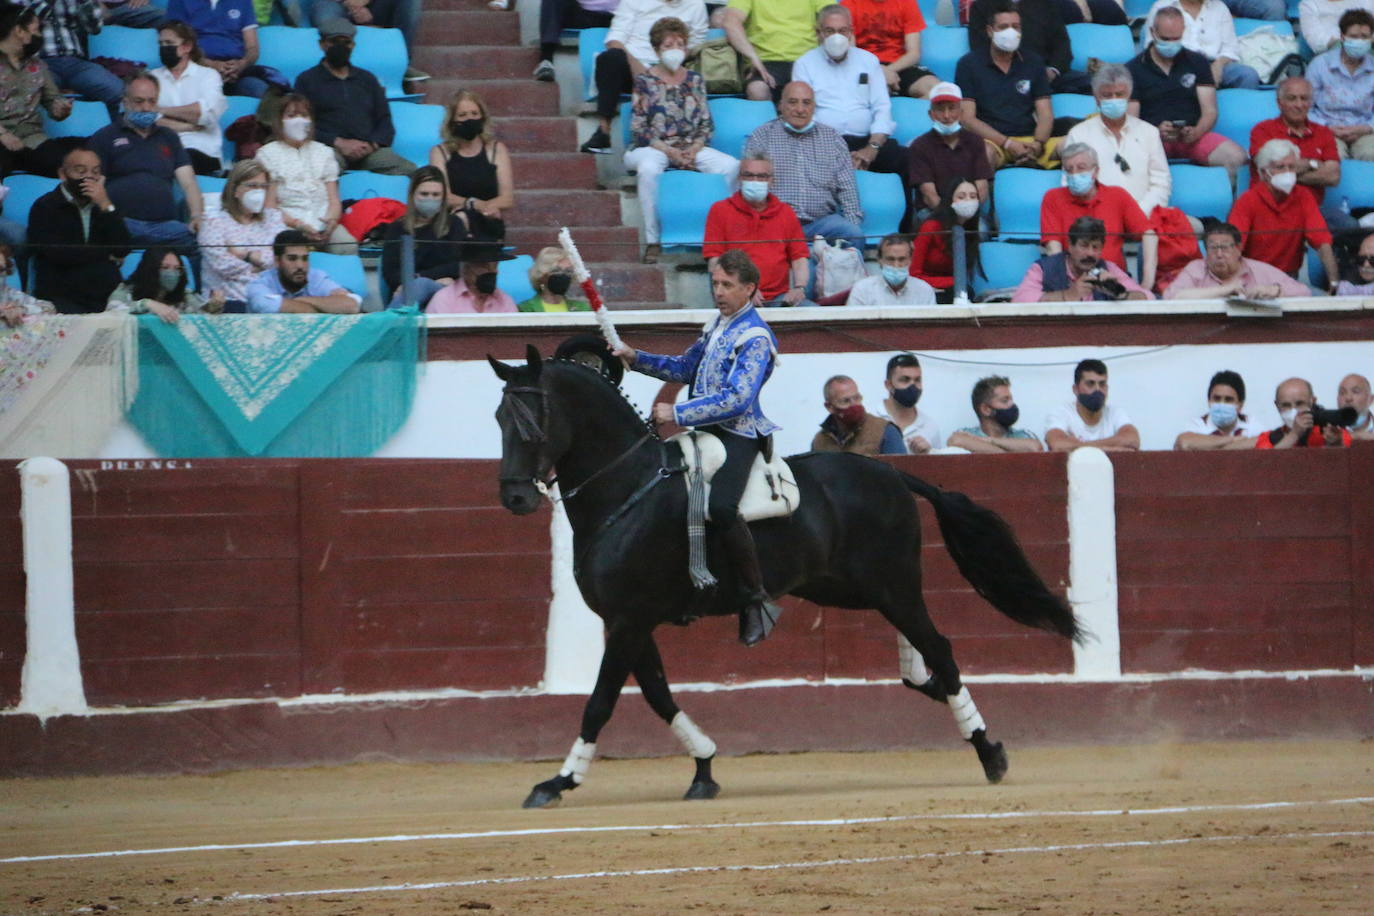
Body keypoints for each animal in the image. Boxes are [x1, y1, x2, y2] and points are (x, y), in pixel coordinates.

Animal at [494, 347, 1082, 807]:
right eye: (499, 417)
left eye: (530, 421)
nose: (516, 498)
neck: (630, 488)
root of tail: (891, 472)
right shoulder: (628, 621)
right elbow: (658, 694)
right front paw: (704, 767)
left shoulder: (630, 621)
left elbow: (600, 701)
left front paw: (557, 782)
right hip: (852, 588)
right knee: (920, 651)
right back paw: (940, 696)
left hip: (889, 584)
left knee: (939, 646)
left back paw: (988, 751)